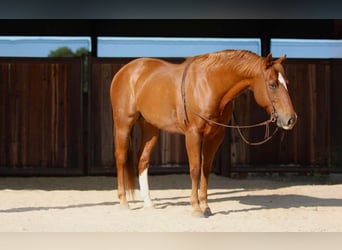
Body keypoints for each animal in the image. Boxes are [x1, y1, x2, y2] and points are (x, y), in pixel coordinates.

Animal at [110, 49, 296, 217]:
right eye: (272, 84)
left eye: (287, 82)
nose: (291, 119)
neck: (210, 85)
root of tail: (125, 71)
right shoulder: (193, 135)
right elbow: (195, 169)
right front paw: (196, 207)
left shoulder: (215, 137)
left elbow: (205, 169)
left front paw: (205, 206)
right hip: (123, 124)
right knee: (121, 158)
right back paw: (123, 201)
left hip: (150, 127)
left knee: (143, 160)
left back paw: (148, 203)